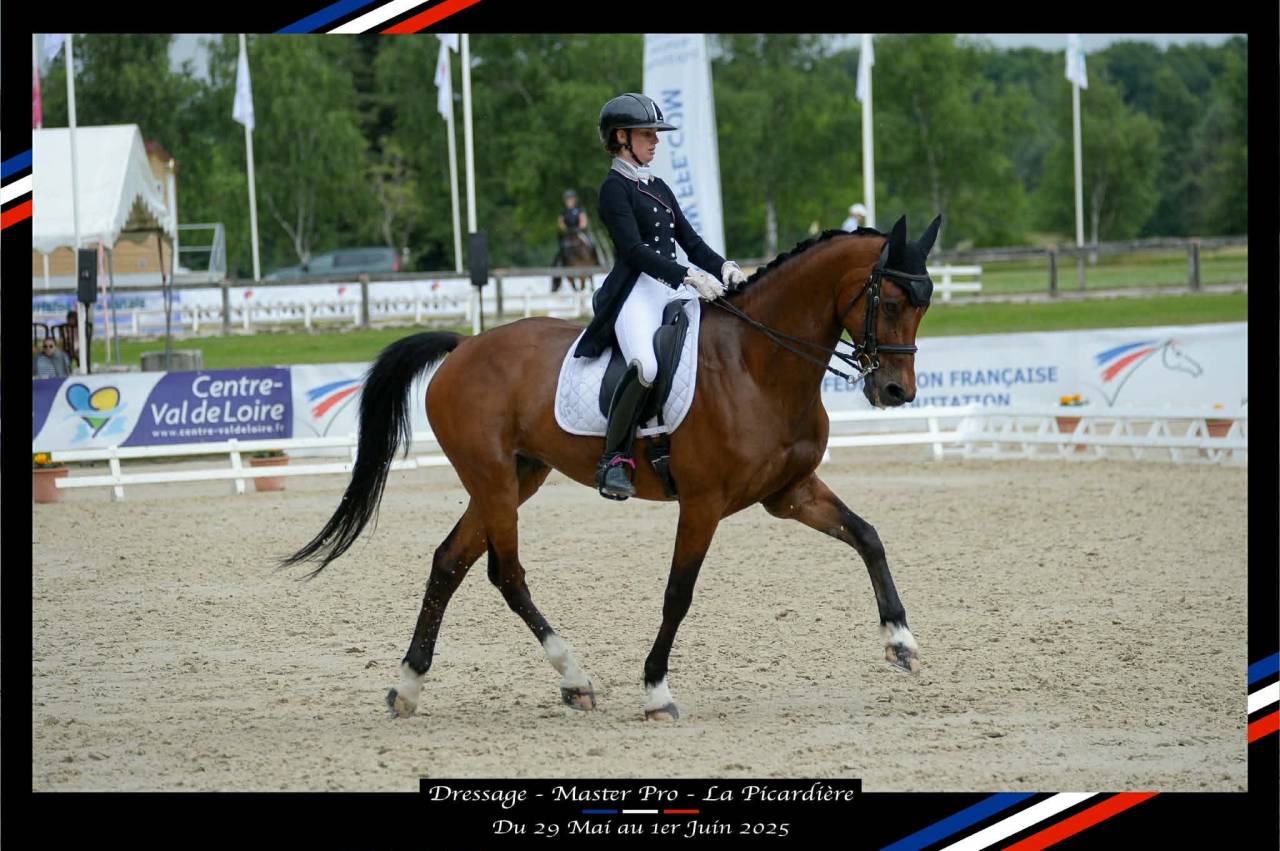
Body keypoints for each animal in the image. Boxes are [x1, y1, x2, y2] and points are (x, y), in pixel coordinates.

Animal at [283, 214, 941, 721]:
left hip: (517, 477)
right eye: (889, 300)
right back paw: (572, 675)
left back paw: (409, 686)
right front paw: (656, 692)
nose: (895, 391)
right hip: (493, 479)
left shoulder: (791, 492)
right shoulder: (703, 504)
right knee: (505, 572)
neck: (758, 365)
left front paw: (901, 641)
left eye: (926, 302)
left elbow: (868, 537)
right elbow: (678, 594)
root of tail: (465, 346)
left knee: (450, 562)